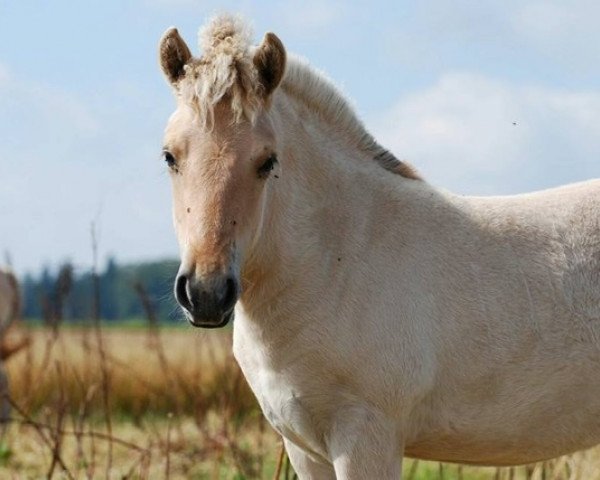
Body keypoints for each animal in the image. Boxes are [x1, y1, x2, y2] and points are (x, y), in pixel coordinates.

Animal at [158, 13, 600, 478]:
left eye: (267, 161)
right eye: (170, 156)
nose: (206, 293)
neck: (337, 263)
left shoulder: (366, 438)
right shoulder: (304, 448)